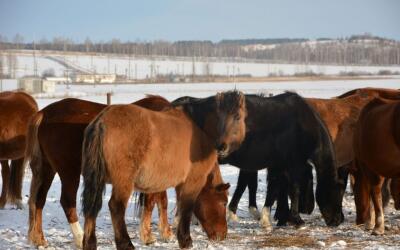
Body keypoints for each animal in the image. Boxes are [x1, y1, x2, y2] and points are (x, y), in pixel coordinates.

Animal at [79, 91, 245, 249]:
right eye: (223, 203)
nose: (222, 235)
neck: (199, 132)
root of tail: (101, 121)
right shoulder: (192, 182)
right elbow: (186, 209)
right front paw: (185, 241)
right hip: (123, 183)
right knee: (116, 207)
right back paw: (126, 244)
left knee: (91, 208)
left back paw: (89, 244)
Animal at [173, 92, 346, 230]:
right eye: (336, 192)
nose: (338, 221)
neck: (301, 125)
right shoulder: (291, 165)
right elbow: (289, 189)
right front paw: (292, 219)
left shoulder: (276, 165)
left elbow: (269, 188)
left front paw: (276, 217)